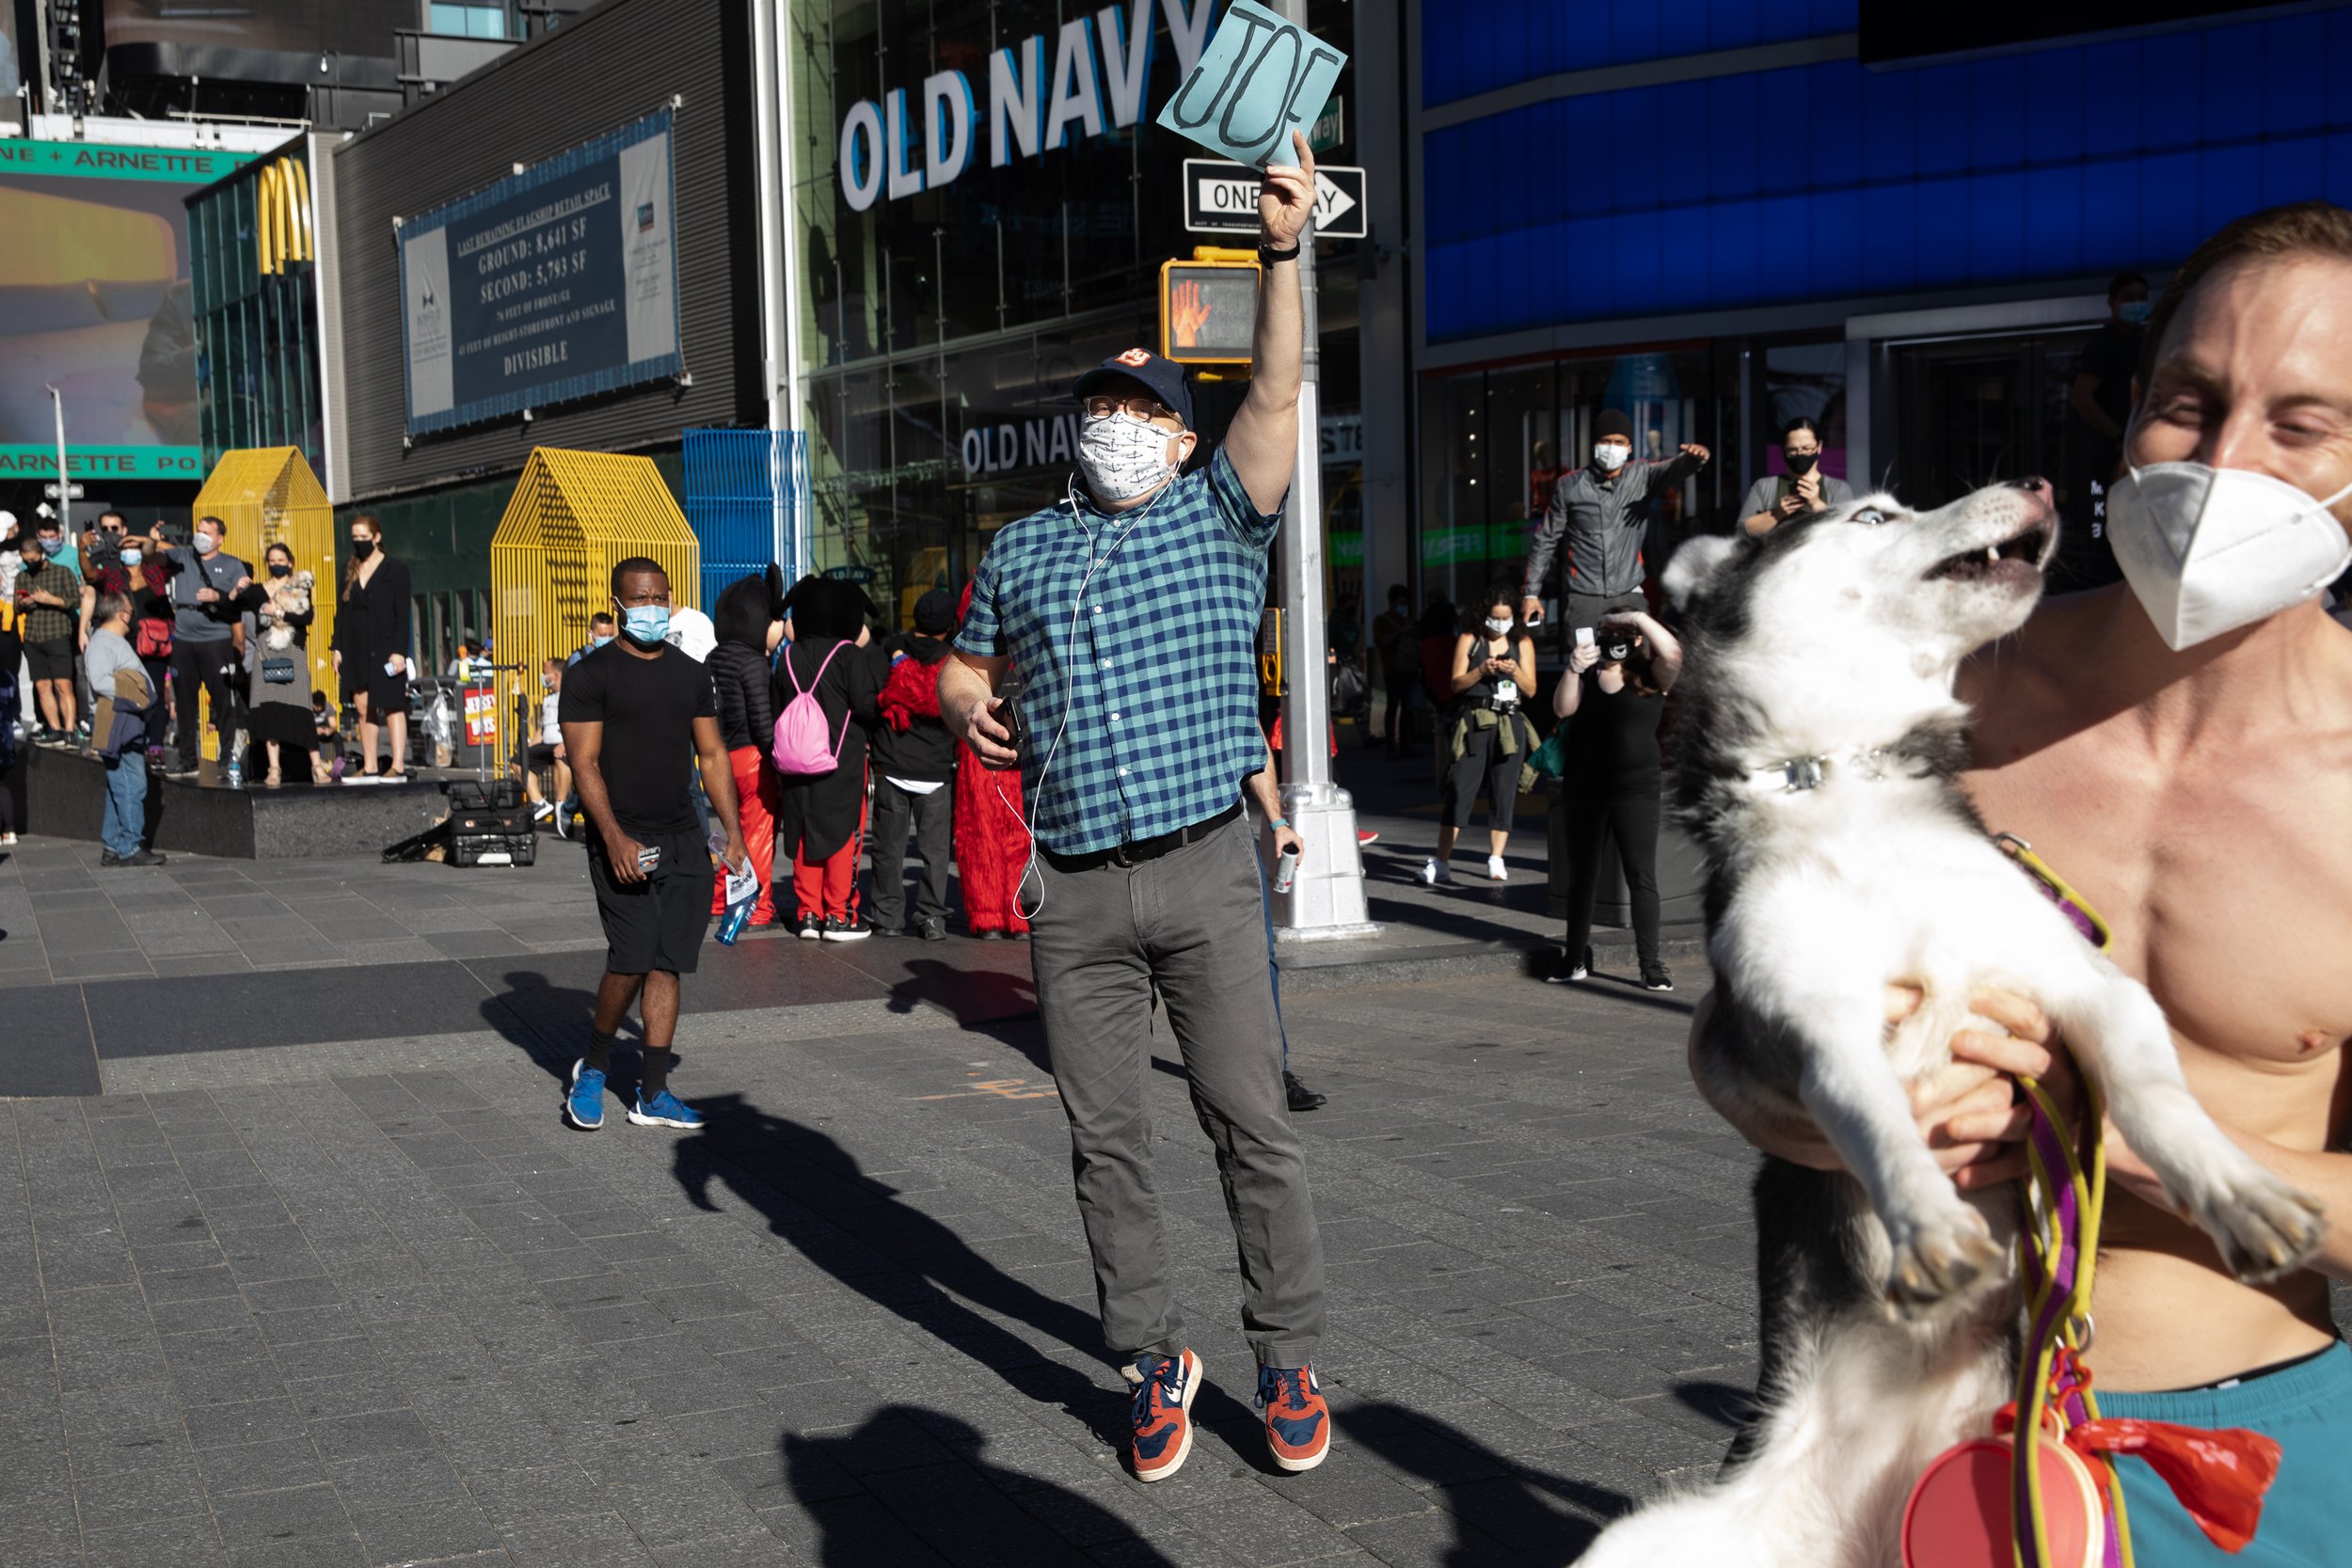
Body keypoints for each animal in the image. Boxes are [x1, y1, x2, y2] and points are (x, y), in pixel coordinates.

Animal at [1571, 482, 2324, 1568]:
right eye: (1874, 516)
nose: (2043, 487)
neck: (1846, 778)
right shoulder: (1808, 1019)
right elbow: (1875, 1116)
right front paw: (1925, 1221)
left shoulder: (2082, 983)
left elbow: (2156, 1095)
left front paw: (2240, 1192)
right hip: (1642, 1544)